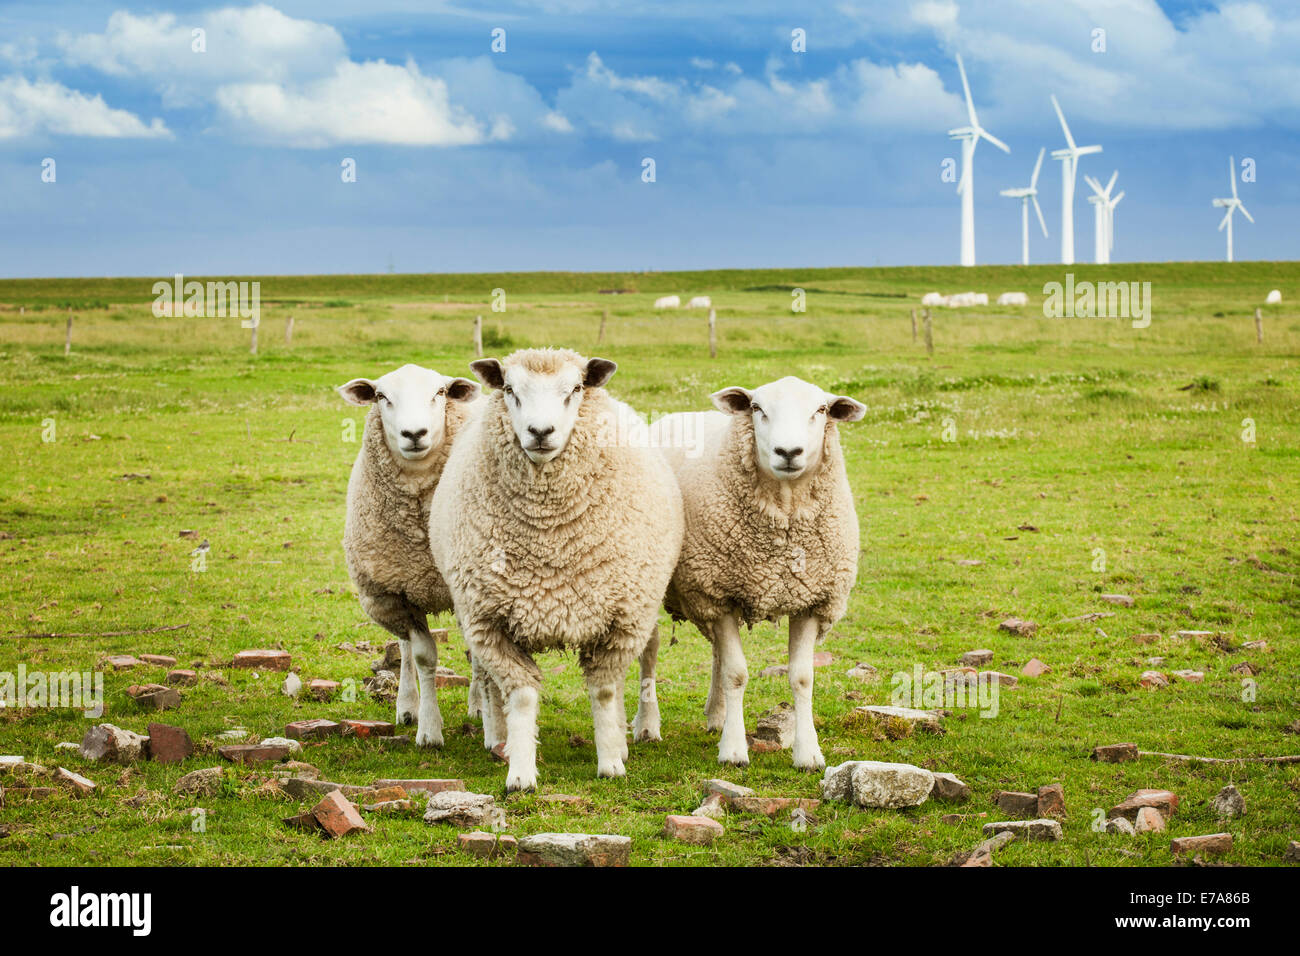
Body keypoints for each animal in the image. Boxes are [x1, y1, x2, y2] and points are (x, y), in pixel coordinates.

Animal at [338, 364, 481, 748]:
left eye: (440, 393)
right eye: (381, 396)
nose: (414, 434)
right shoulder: (395, 593)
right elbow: (422, 657)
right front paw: (429, 729)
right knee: (402, 648)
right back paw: (406, 707)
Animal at [429, 348, 684, 791]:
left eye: (576, 388)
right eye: (509, 389)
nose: (540, 431)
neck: (551, 539)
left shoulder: (623, 619)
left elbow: (604, 691)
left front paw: (610, 762)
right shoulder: (489, 623)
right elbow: (521, 695)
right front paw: (520, 772)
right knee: (491, 685)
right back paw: (499, 739)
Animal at [646, 376, 865, 771]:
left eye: (821, 410)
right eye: (757, 408)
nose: (789, 451)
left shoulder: (811, 600)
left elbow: (802, 678)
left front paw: (808, 753)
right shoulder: (717, 594)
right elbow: (737, 674)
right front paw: (733, 751)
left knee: (717, 652)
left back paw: (716, 715)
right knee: (651, 650)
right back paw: (647, 725)